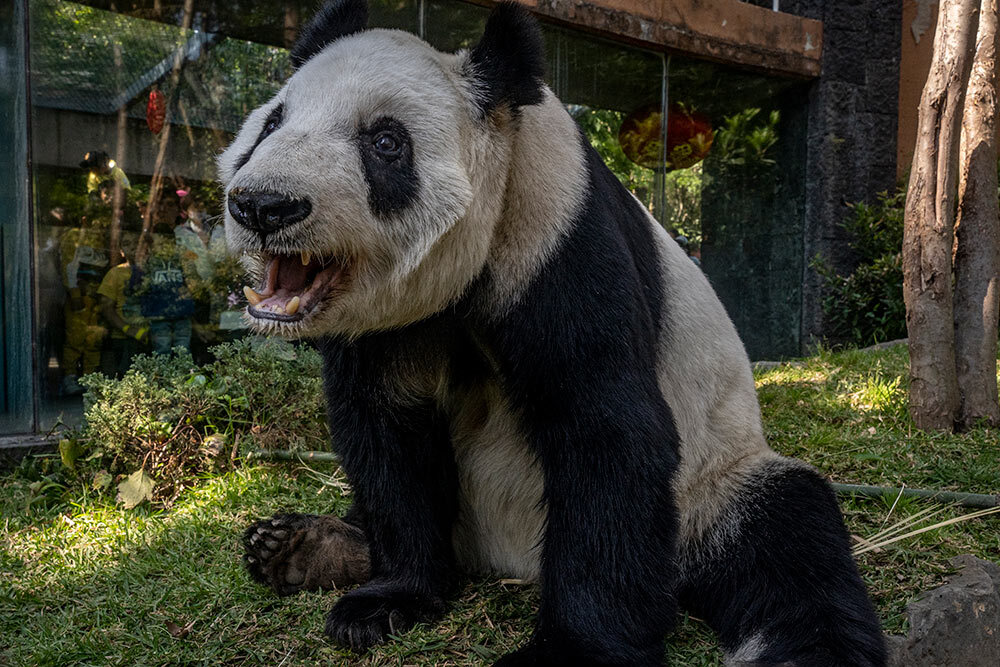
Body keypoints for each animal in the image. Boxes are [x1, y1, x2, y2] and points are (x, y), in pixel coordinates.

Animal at [223, 2, 888, 664]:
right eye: (271, 123)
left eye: (385, 142)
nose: (264, 204)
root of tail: (506, 560)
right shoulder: (389, 322)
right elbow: (387, 430)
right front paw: (385, 599)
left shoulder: (557, 235)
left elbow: (604, 429)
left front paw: (572, 649)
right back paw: (298, 546)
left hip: (713, 485)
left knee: (789, 540)